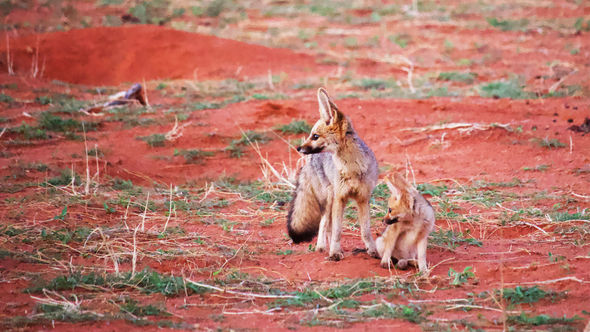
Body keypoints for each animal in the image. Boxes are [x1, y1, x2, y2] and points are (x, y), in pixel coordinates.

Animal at [286, 88, 380, 262]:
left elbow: (365, 230)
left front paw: (373, 251)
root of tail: (309, 161)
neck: (352, 168)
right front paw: (335, 252)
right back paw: (322, 247)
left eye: (315, 136)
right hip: (329, 198)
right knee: (324, 223)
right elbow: (337, 230)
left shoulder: (363, 198)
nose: (298, 148)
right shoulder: (339, 198)